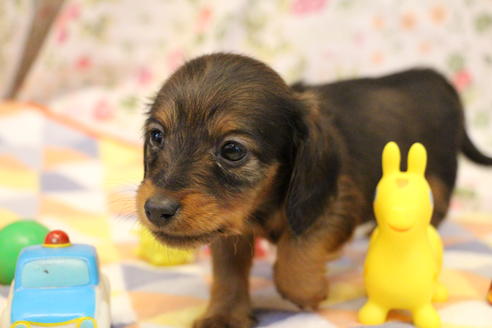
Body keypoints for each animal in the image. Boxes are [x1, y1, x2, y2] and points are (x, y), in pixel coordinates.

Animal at [135, 53, 492, 328]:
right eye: (156, 136)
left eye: (233, 150)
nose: (156, 209)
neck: (263, 205)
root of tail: (438, 79)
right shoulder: (226, 226)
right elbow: (228, 272)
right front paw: (224, 314)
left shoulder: (332, 203)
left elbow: (297, 248)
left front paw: (307, 290)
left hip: (438, 178)